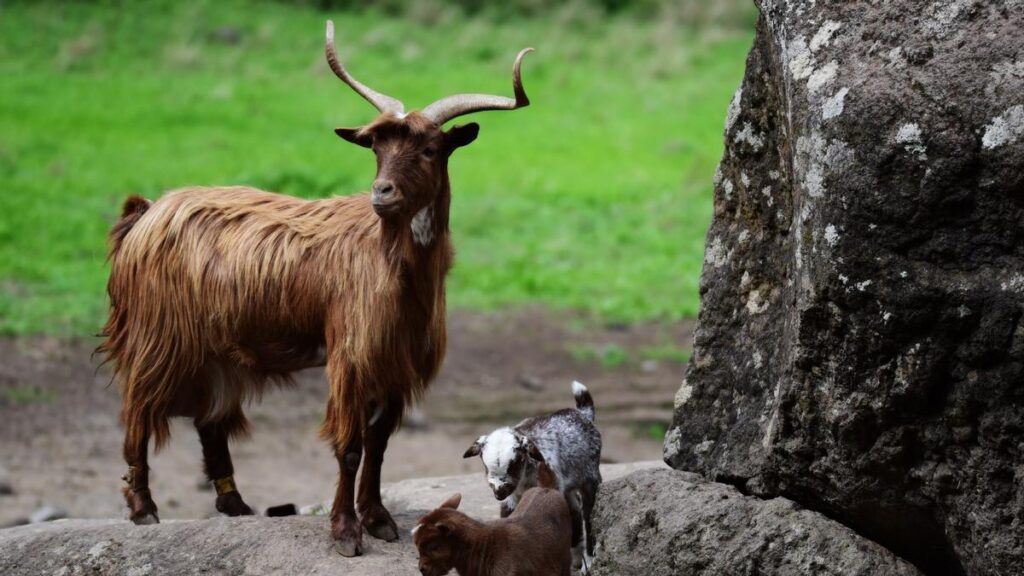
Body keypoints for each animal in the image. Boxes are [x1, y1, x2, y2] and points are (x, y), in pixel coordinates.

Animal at [97, 20, 533, 557]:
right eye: (377, 149)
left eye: (430, 149)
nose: (382, 193)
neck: (391, 265)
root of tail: (145, 211)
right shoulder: (351, 355)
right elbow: (349, 447)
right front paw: (346, 532)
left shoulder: (394, 361)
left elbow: (379, 445)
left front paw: (379, 519)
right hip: (158, 334)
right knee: (137, 407)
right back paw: (143, 508)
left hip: (215, 347)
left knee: (209, 419)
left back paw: (235, 505)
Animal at [464, 381, 601, 572]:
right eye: (484, 464)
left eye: (517, 461)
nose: (499, 491)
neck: (523, 480)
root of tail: (583, 415)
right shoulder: (511, 499)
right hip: (567, 489)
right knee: (574, 510)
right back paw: (576, 560)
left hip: (590, 480)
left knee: (589, 515)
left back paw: (587, 562)